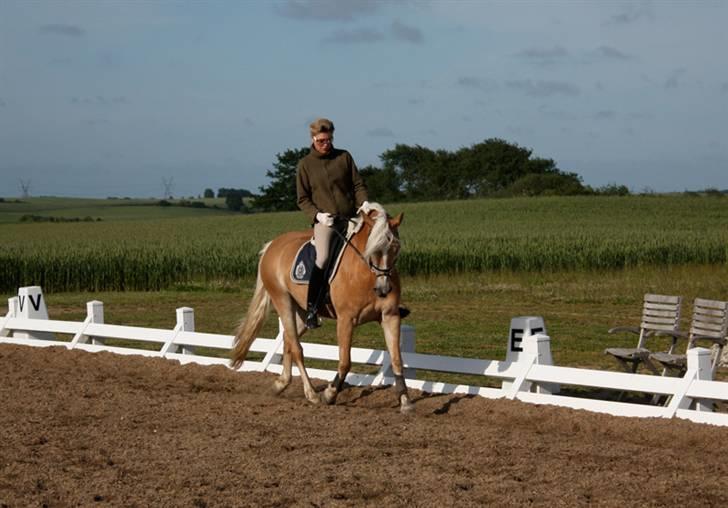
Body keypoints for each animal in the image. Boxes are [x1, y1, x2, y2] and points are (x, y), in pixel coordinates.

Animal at [233, 202, 416, 412]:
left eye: (396, 248)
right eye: (375, 248)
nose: (384, 289)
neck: (366, 273)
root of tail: (272, 245)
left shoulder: (390, 316)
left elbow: (397, 360)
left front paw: (405, 401)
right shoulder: (346, 320)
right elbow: (345, 362)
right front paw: (329, 394)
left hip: (302, 312)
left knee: (288, 340)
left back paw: (281, 384)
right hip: (282, 300)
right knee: (297, 348)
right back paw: (311, 394)